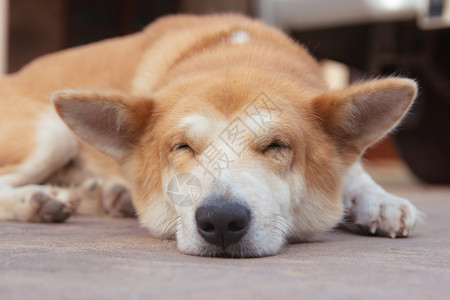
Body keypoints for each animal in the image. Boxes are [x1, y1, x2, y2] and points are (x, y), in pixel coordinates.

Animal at [0, 14, 418, 258]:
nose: (220, 220)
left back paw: (106, 194)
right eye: (182, 147)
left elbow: (356, 173)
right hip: (51, 134)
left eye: (277, 146)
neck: (235, 53)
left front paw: (380, 202)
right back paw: (35, 200)